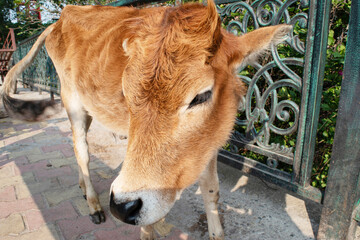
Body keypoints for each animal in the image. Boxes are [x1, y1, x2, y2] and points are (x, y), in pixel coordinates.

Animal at [0, 0, 292, 239]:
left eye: (201, 96)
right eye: (126, 93)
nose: (121, 206)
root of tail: (59, 21)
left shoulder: (207, 146)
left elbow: (212, 190)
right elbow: (149, 217)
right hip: (71, 100)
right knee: (81, 150)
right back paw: (94, 204)